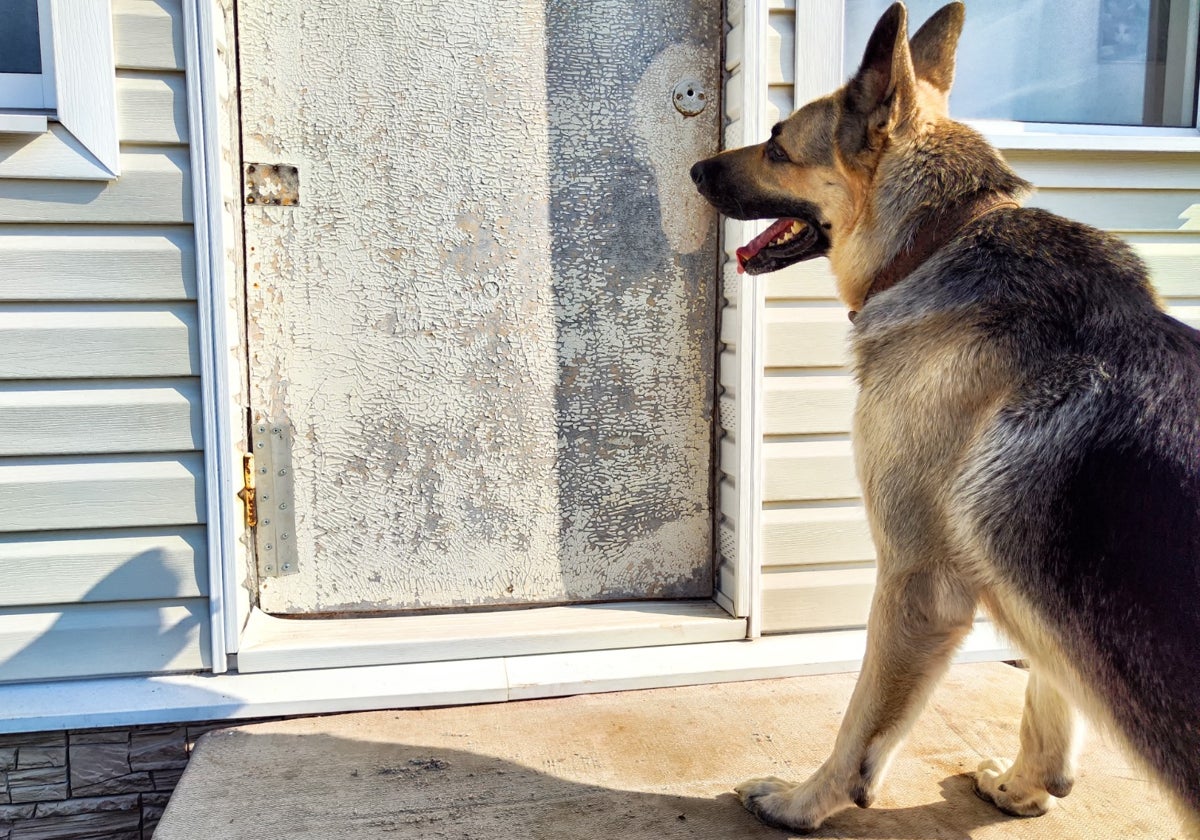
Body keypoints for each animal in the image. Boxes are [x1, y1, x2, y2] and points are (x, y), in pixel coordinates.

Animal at [696, 3, 1200, 835]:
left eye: (775, 143)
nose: (696, 169)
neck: (938, 242)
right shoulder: (1041, 588)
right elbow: (1049, 686)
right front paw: (1030, 786)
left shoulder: (917, 584)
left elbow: (861, 727)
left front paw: (804, 803)